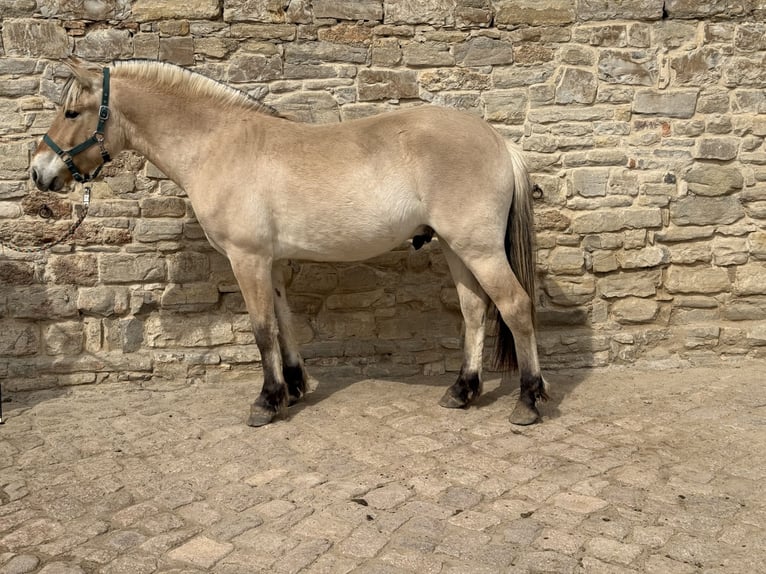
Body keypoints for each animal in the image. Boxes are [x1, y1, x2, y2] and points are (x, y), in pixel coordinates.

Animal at [31, 59, 548, 427]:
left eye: (71, 112)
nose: (38, 172)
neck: (218, 144)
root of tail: (499, 142)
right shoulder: (271, 262)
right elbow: (284, 322)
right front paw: (294, 387)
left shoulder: (247, 259)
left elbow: (262, 330)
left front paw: (266, 402)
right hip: (456, 249)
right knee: (474, 311)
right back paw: (462, 391)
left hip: (478, 249)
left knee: (515, 307)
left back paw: (528, 400)